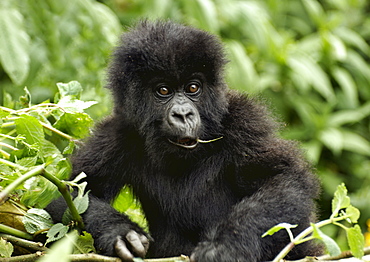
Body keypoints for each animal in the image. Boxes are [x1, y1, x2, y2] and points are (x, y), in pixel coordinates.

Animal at [48, 21, 320, 262]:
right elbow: (67, 192)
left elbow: (282, 179)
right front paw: (120, 233)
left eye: (192, 88)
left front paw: (227, 245)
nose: (183, 114)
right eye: (163, 91)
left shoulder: (246, 121)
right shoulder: (117, 133)